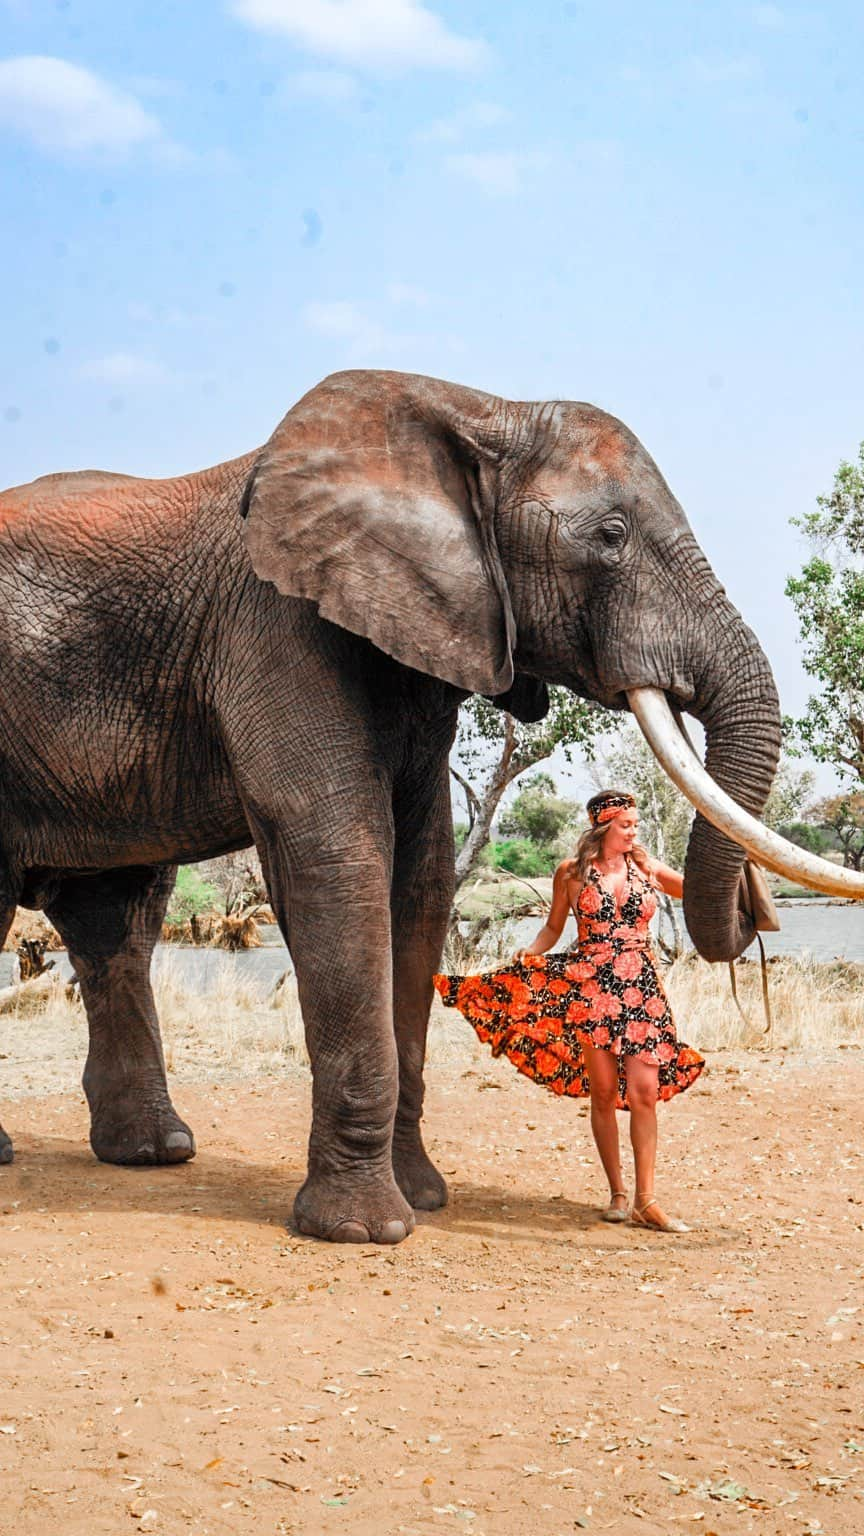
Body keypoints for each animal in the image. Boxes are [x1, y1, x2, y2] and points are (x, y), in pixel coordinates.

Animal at [0, 368, 848, 1234]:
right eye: (610, 535)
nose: (756, 905)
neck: (478, 408)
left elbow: (422, 878)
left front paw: (424, 1200)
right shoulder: (274, 626)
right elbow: (341, 857)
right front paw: (362, 1231)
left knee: (120, 919)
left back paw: (155, 1151)